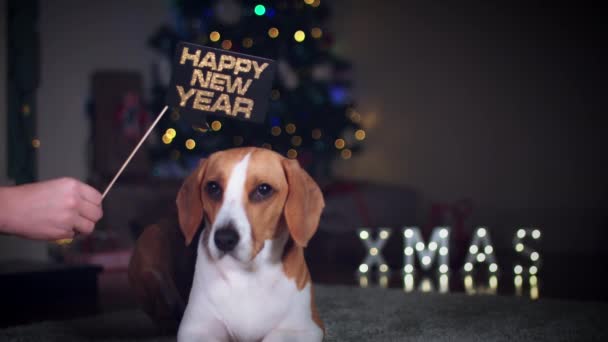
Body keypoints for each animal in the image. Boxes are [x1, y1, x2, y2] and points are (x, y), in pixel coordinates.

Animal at [128, 148, 326, 342]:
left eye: (264, 189)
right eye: (213, 187)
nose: (224, 239)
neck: (248, 275)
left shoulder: (304, 328)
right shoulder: (197, 329)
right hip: (150, 243)